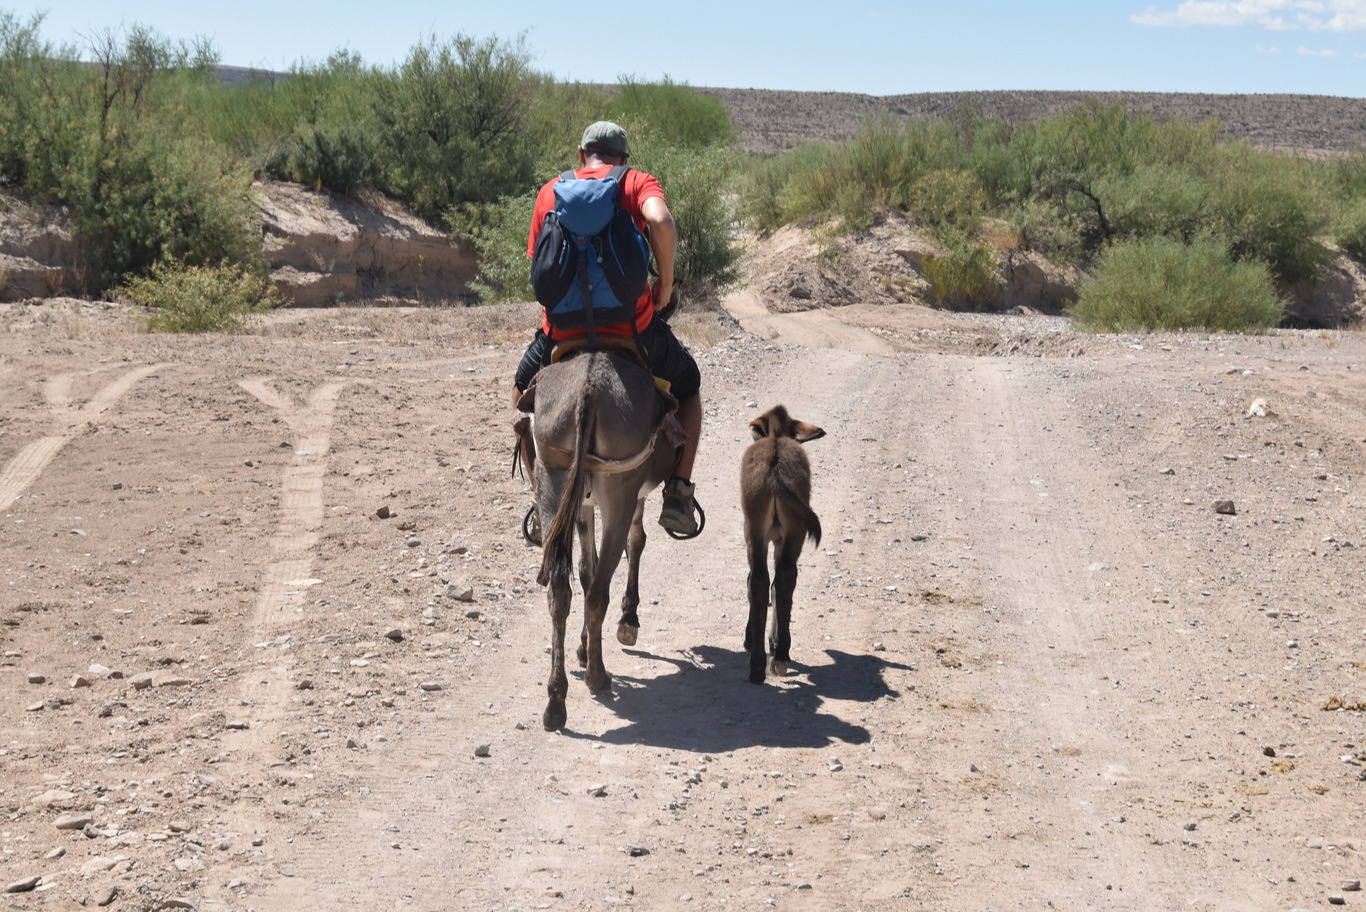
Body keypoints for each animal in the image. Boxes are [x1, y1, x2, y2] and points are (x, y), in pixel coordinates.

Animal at [743, 406, 825, 682]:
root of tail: (776, 468)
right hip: (788, 531)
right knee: (779, 579)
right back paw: (773, 659)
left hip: (758, 529)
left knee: (763, 580)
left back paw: (764, 662)